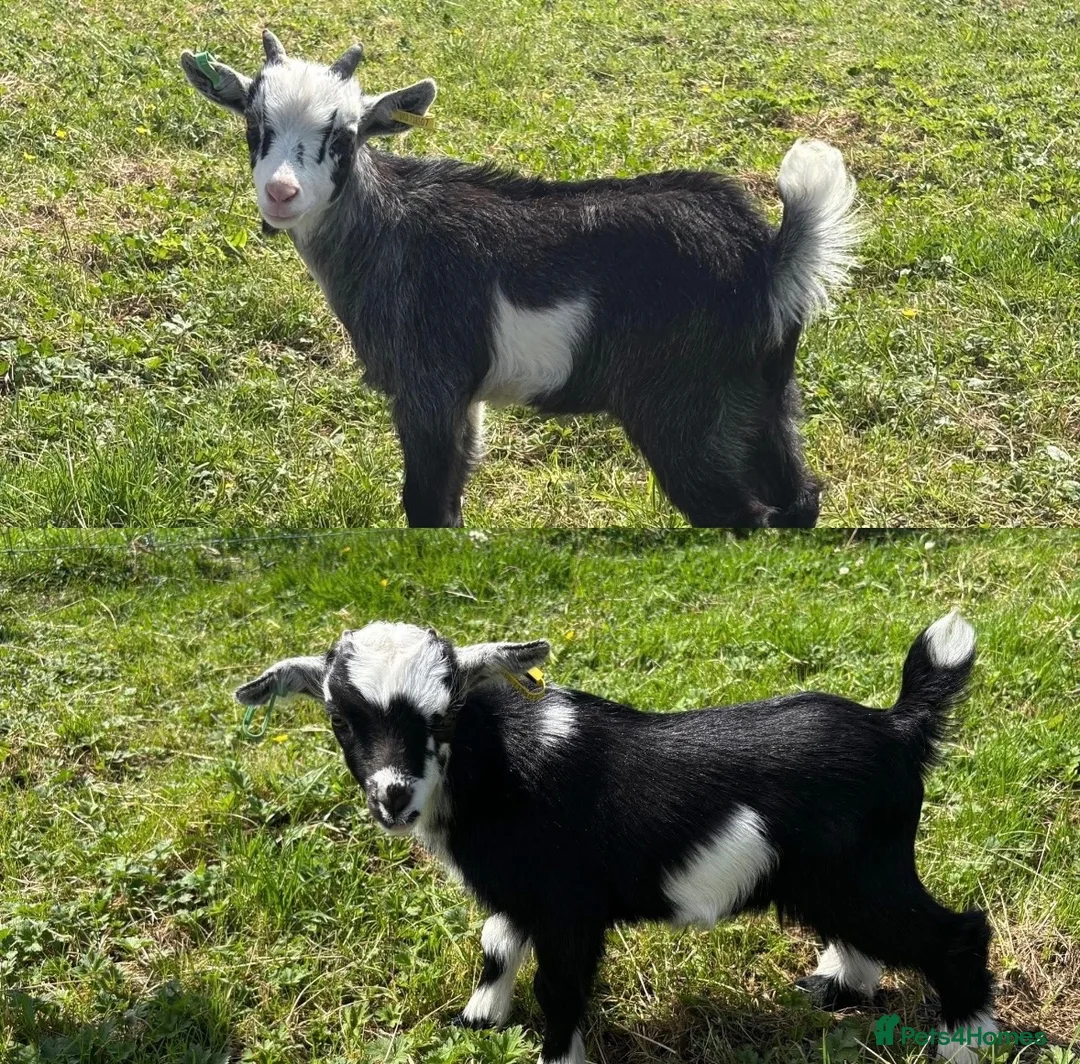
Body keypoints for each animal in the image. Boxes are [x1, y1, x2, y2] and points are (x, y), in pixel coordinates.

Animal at [182, 31, 861, 527]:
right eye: (254, 125)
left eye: (343, 136)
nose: (281, 193)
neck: (388, 228)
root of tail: (767, 258)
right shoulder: (465, 396)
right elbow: (452, 499)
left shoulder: (428, 384)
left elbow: (426, 505)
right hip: (761, 397)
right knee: (800, 498)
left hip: (685, 411)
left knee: (743, 513)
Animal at [236, 611, 995, 1064]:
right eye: (341, 721)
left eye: (444, 715)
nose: (393, 797)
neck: (497, 763)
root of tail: (897, 726)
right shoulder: (523, 892)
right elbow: (496, 942)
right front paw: (479, 1020)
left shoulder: (569, 905)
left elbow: (560, 986)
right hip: (837, 876)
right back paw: (839, 983)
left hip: (863, 872)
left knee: (954, 933)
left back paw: (965, 1040)